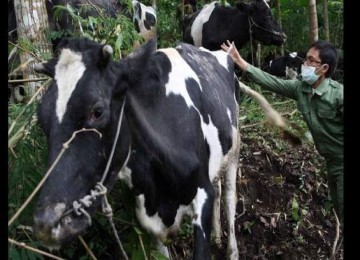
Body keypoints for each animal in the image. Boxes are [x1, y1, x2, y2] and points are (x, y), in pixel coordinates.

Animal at [33, 37, 242, 258]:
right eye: (41, 116)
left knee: (229, 197)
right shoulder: (148, 220)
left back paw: (232, 251)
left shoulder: (203, 193)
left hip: (235, 147)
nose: (47, 224)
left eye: (97, 112)